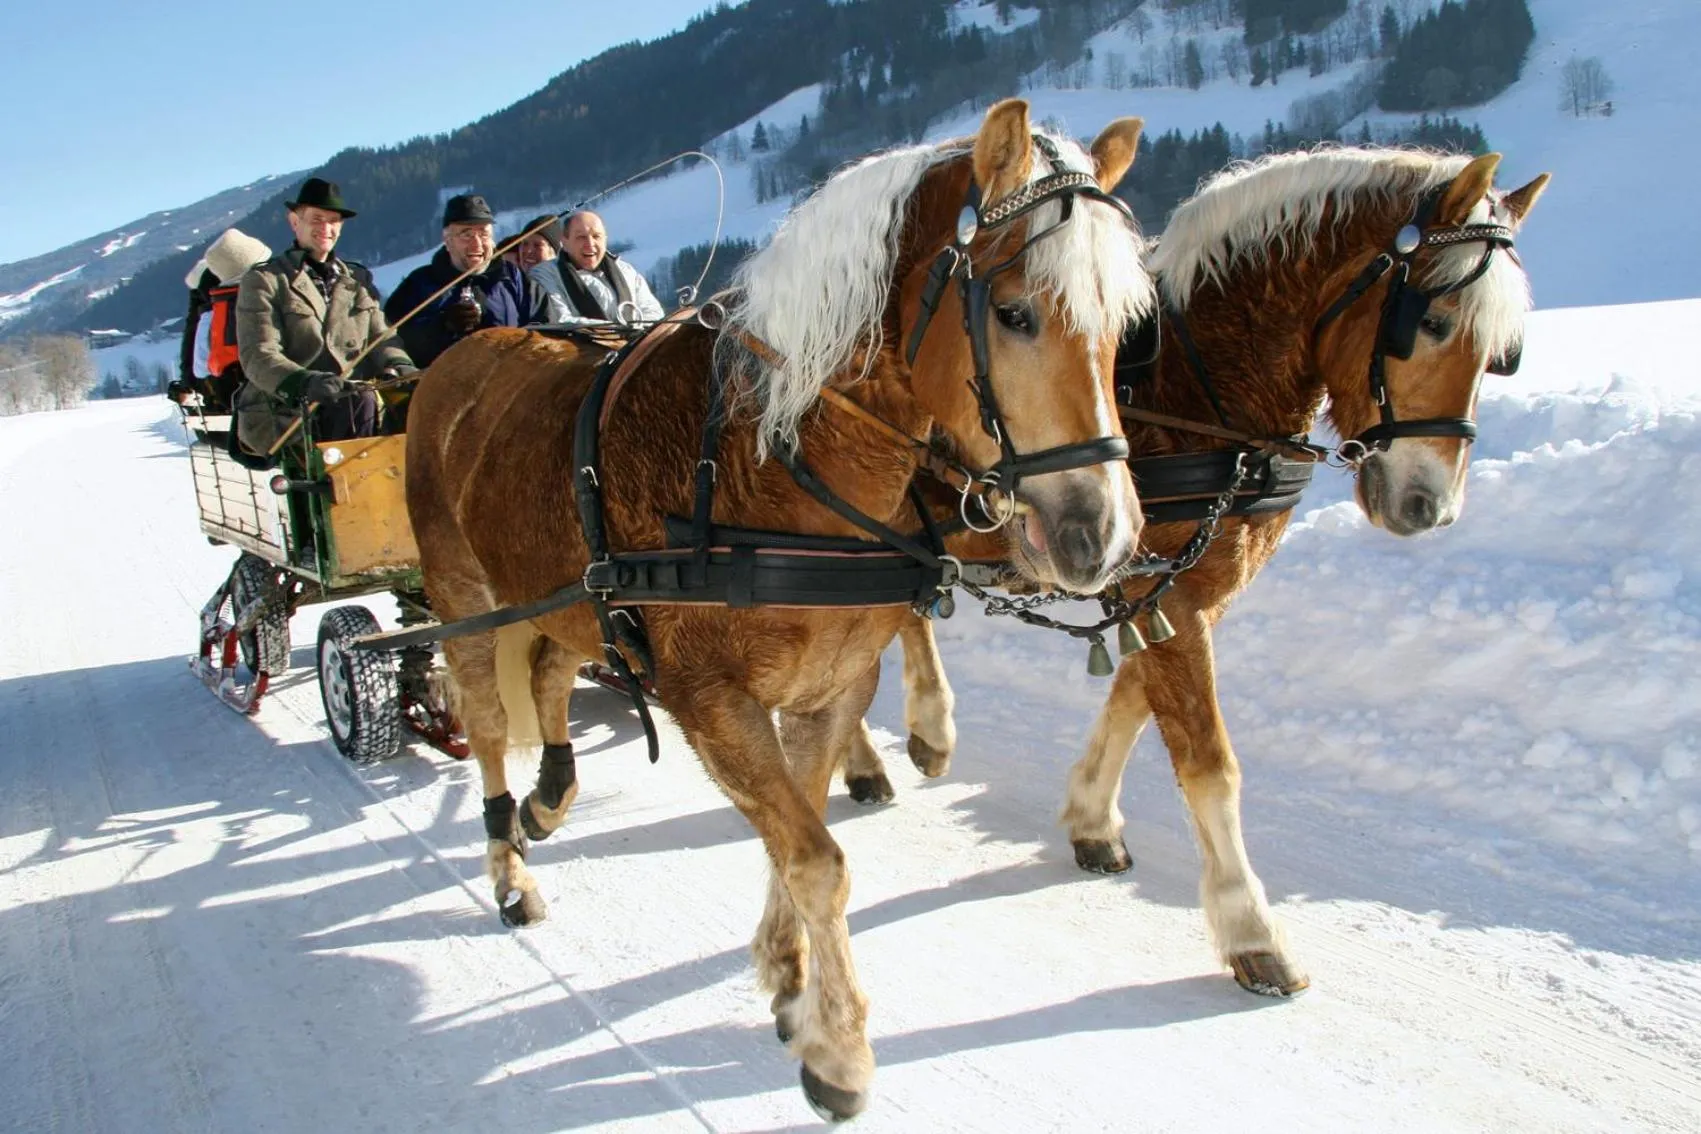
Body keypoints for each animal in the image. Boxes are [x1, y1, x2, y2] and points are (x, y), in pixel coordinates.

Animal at [403, 99, 1155, 1119]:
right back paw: (509, 867)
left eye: (1125, 322)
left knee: (554, 667)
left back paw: (550, 799)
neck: (770, 457)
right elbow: (814, 859)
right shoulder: (711, 699)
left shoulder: (831, 686)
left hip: (568, 596)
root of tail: (459, 356)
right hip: (464, 595)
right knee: (484, 723)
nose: (1100, 535)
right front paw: (838, 1050)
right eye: (1012, 312)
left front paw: (786, 975)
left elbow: (793, 832)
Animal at [840, 146, 1550, 999]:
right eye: (1433, 322)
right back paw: (902, 737)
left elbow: (1133, 699)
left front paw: (1090, 818)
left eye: (1504, 354)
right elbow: (1206, 759)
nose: (1429, 505)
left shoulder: (1176, 589)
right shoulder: (1162, 589)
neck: (1196, 386)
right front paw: (1251, 930)